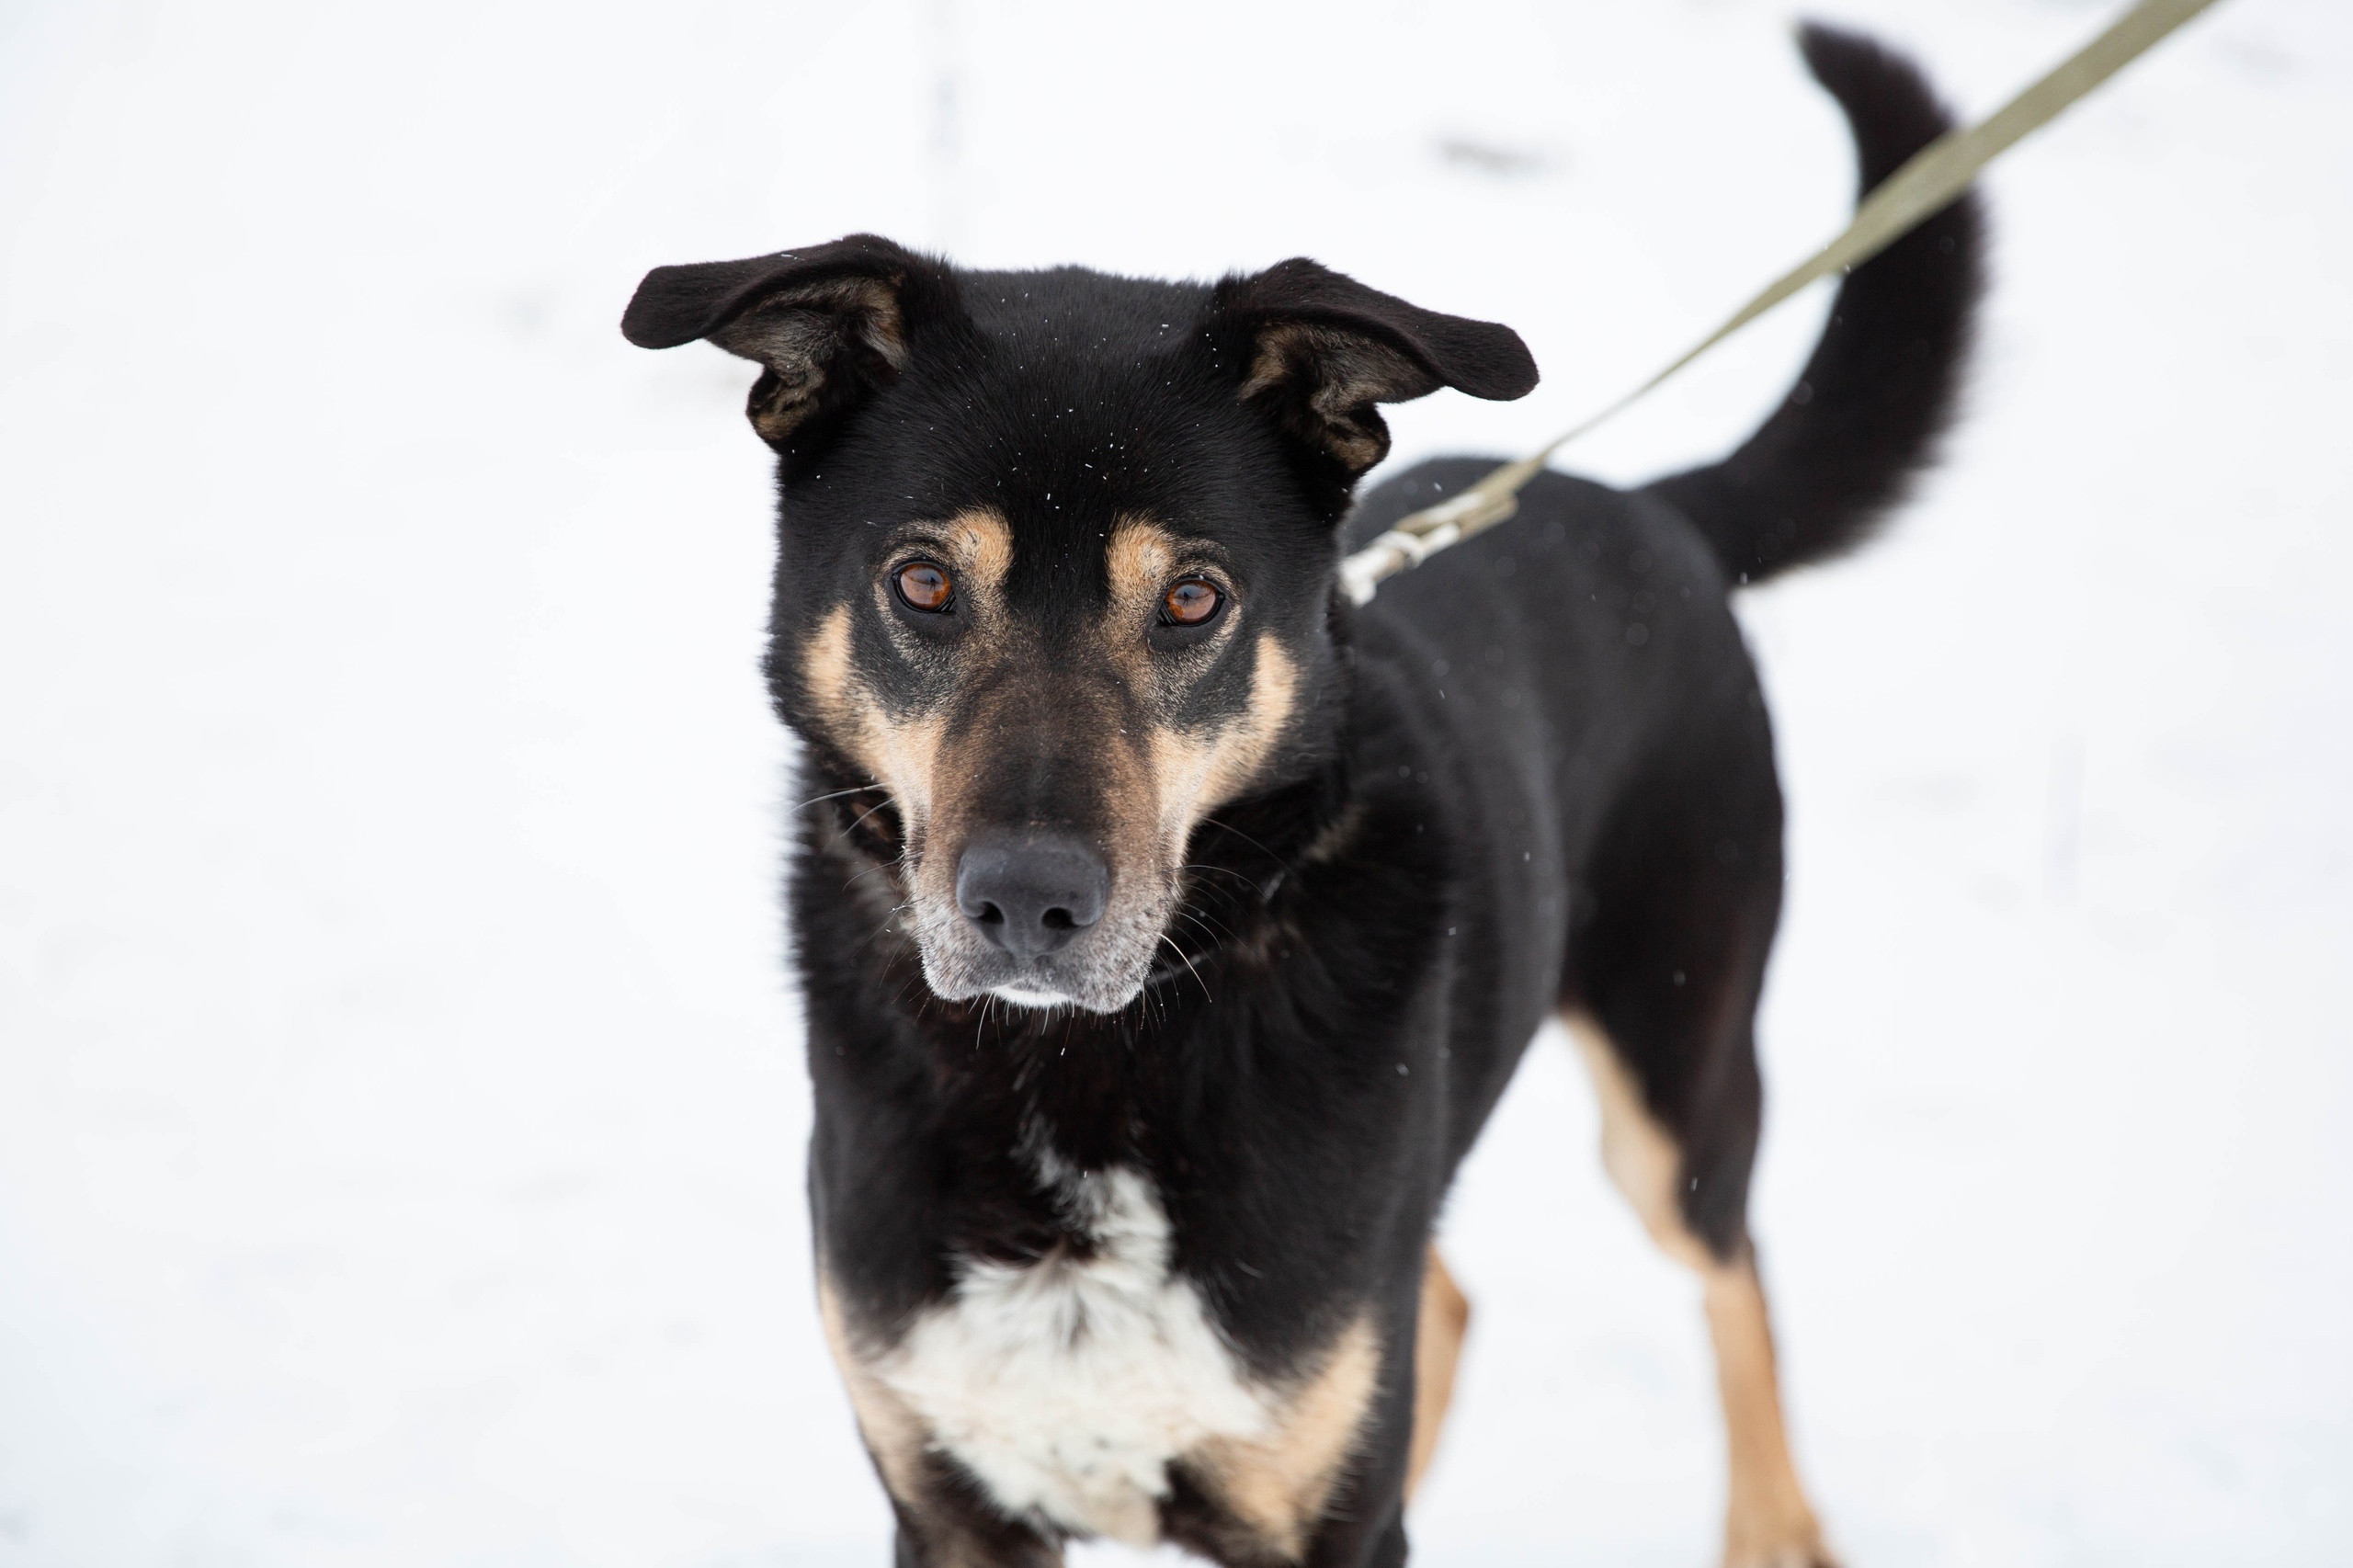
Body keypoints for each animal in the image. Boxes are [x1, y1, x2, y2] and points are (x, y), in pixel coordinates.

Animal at [620, 24, 1967, 1562]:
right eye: (922, 581)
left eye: (1194, 597)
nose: (1027, 903)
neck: (1086, 1066)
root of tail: (1649, 501)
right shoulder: (948, 1494)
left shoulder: (1323, 1507)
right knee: (1451, 1299)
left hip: (1676, 1057)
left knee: (1730, 1264)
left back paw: (1774, 1524)